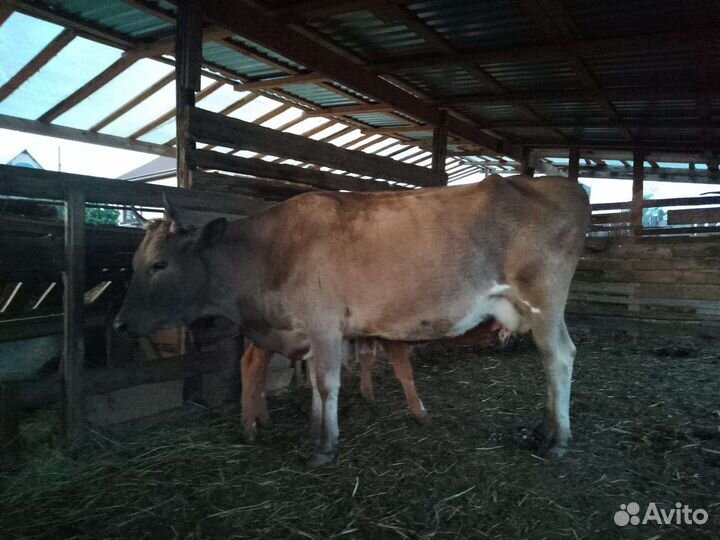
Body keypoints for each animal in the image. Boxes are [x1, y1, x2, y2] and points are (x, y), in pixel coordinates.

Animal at [114, 175, 590, 466]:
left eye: (159, 264)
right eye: (136, 261)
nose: (119, 324)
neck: (270, 252)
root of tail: (563, 184)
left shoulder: (324, 324)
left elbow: (327, 384)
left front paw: (325, 447)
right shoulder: (309, 331)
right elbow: (315, 385)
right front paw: (314, 431)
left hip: (543, 301)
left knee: (559, 356)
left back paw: (558, 439)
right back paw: (542, 429)